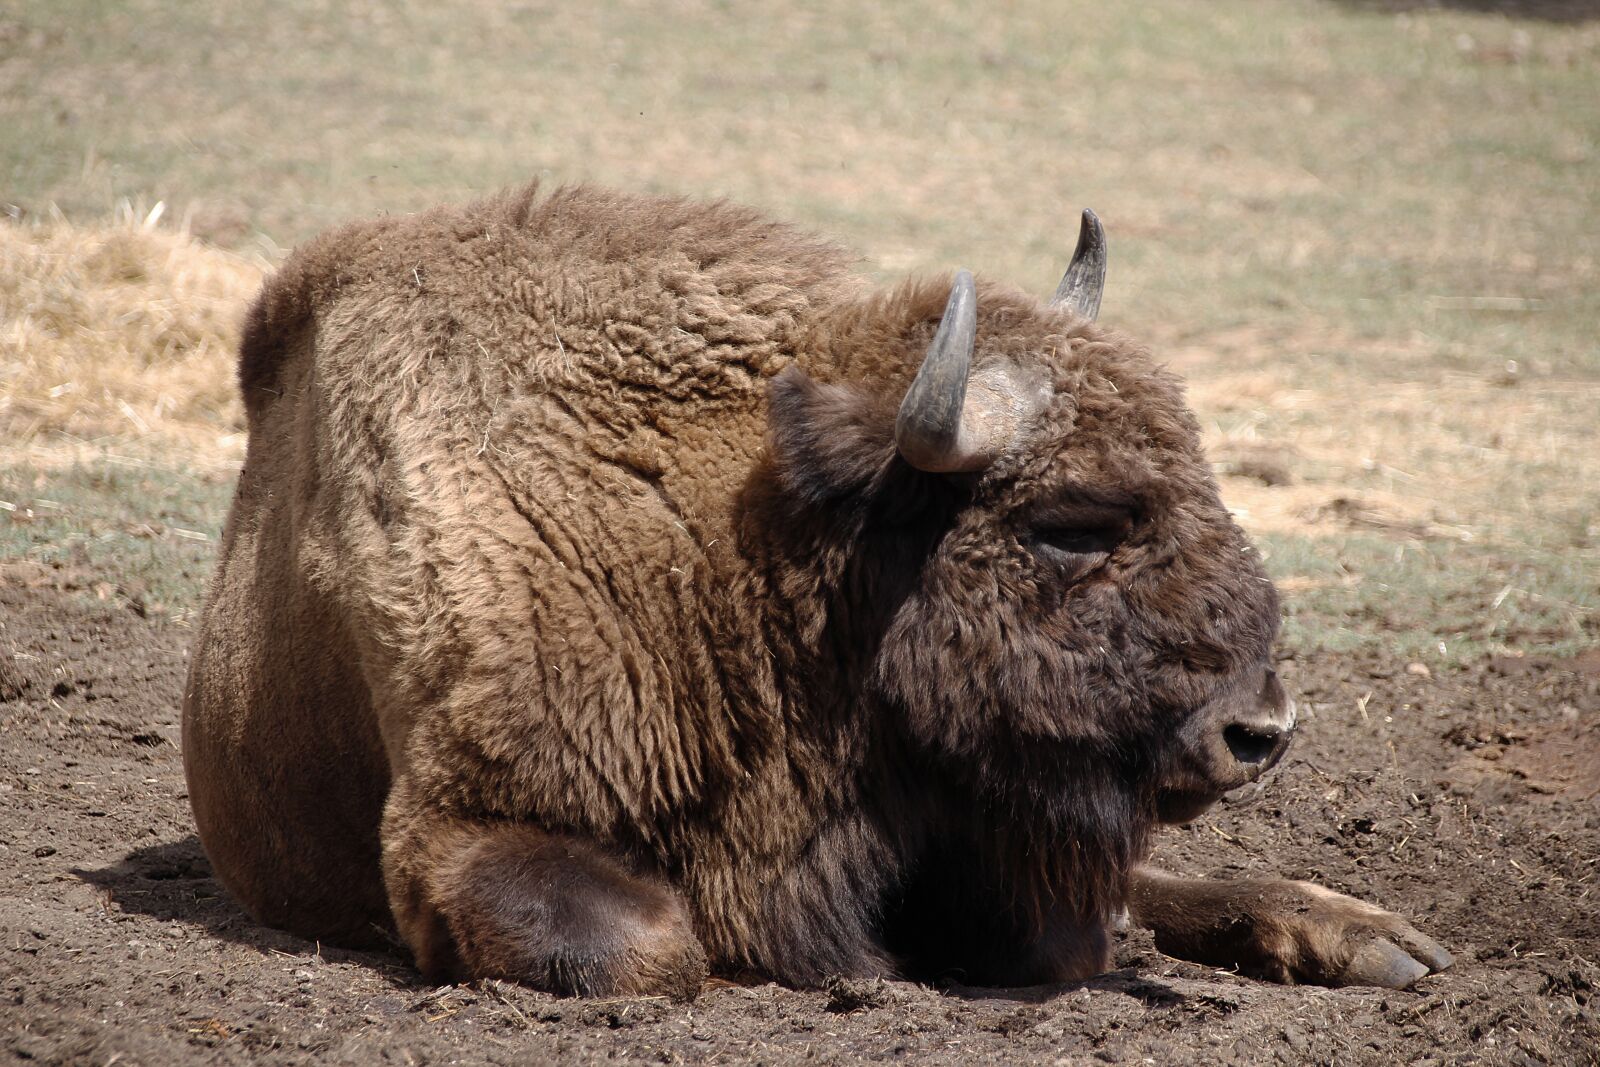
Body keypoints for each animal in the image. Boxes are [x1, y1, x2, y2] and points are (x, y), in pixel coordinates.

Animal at [183, 183, 1450, 999]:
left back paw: (1377, 938)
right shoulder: (467, 824)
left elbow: (1075, 925)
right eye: (1068, 523)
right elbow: (658, 947)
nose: (1261, 730)